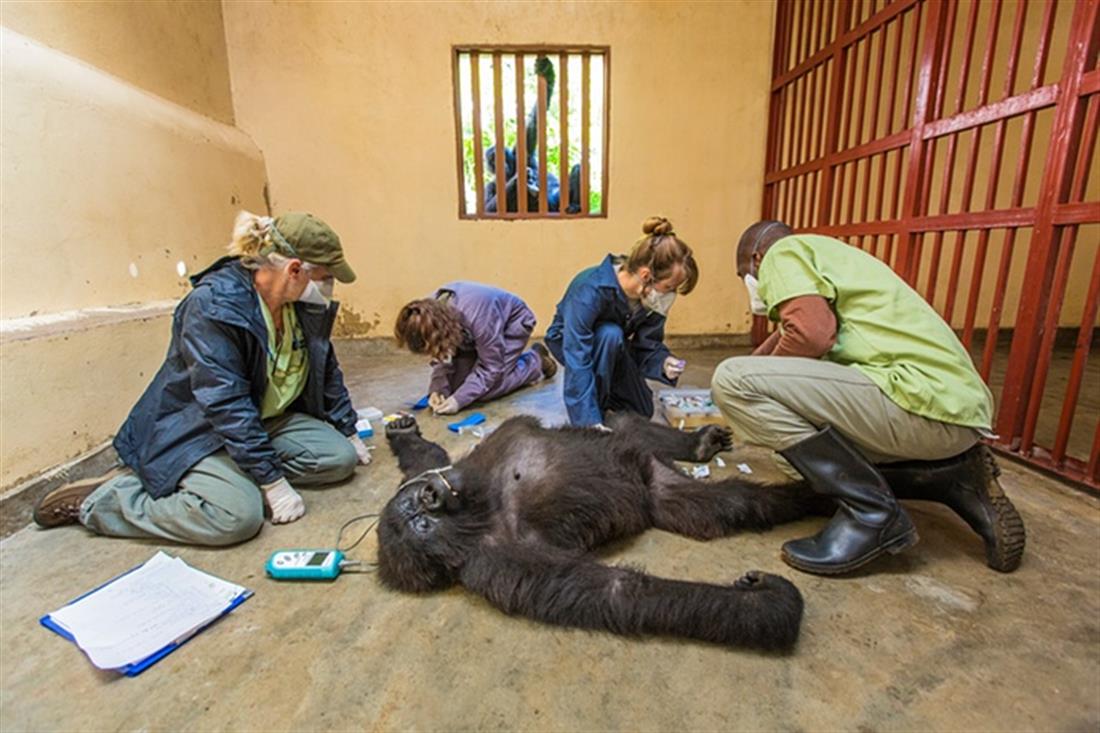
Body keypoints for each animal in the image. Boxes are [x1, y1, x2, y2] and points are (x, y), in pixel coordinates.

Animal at [374, 411, 827, 651]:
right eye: (422, 525)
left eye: (418, 508)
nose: (431, 495)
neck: (481, 502)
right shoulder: (501, 564)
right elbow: (619, 592)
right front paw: (766, 606)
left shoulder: (442, 471)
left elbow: (427, 457)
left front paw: (404, 433)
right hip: (664, 489)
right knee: (724, 503)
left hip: (641, 459)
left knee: (623, 423)